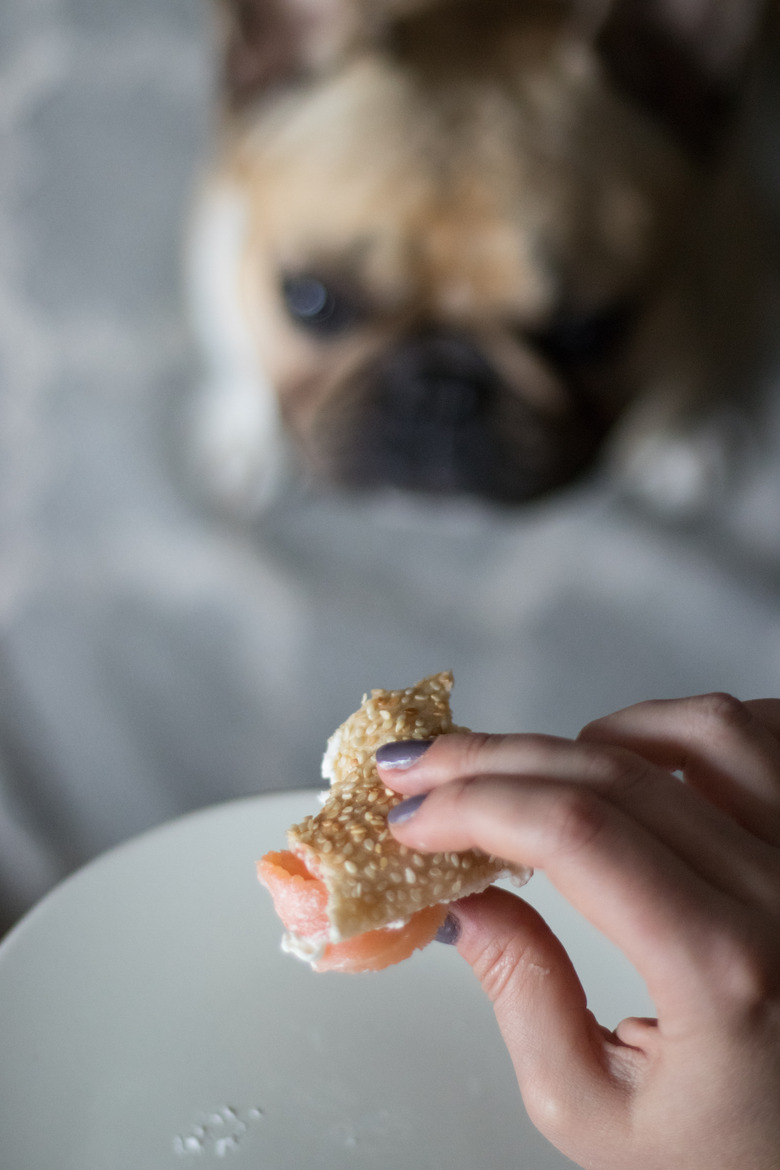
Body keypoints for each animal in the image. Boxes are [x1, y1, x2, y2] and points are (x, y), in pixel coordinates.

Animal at [187, 0, 767, 512]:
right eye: (311, 299)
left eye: (589, 331)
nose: (440, 391)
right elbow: (239, 350)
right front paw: (248, 440)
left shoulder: (730, 256)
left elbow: (694, 372)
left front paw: (679, 441)